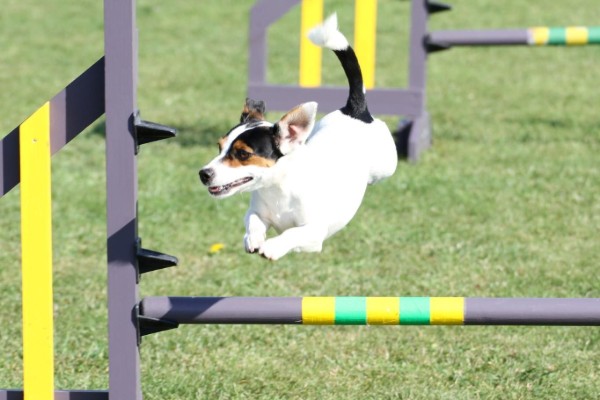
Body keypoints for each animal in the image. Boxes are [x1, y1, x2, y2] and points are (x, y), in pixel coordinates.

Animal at [200, 14, 398, 260]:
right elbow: (253, 220)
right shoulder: (256, 212)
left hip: (386, 164)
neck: (278, 190)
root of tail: (355, 108)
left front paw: (273, 247)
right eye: (220, 147)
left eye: (243, 154)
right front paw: (253, 238)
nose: (203, 174)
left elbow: (292, 233)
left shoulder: (315, 235)